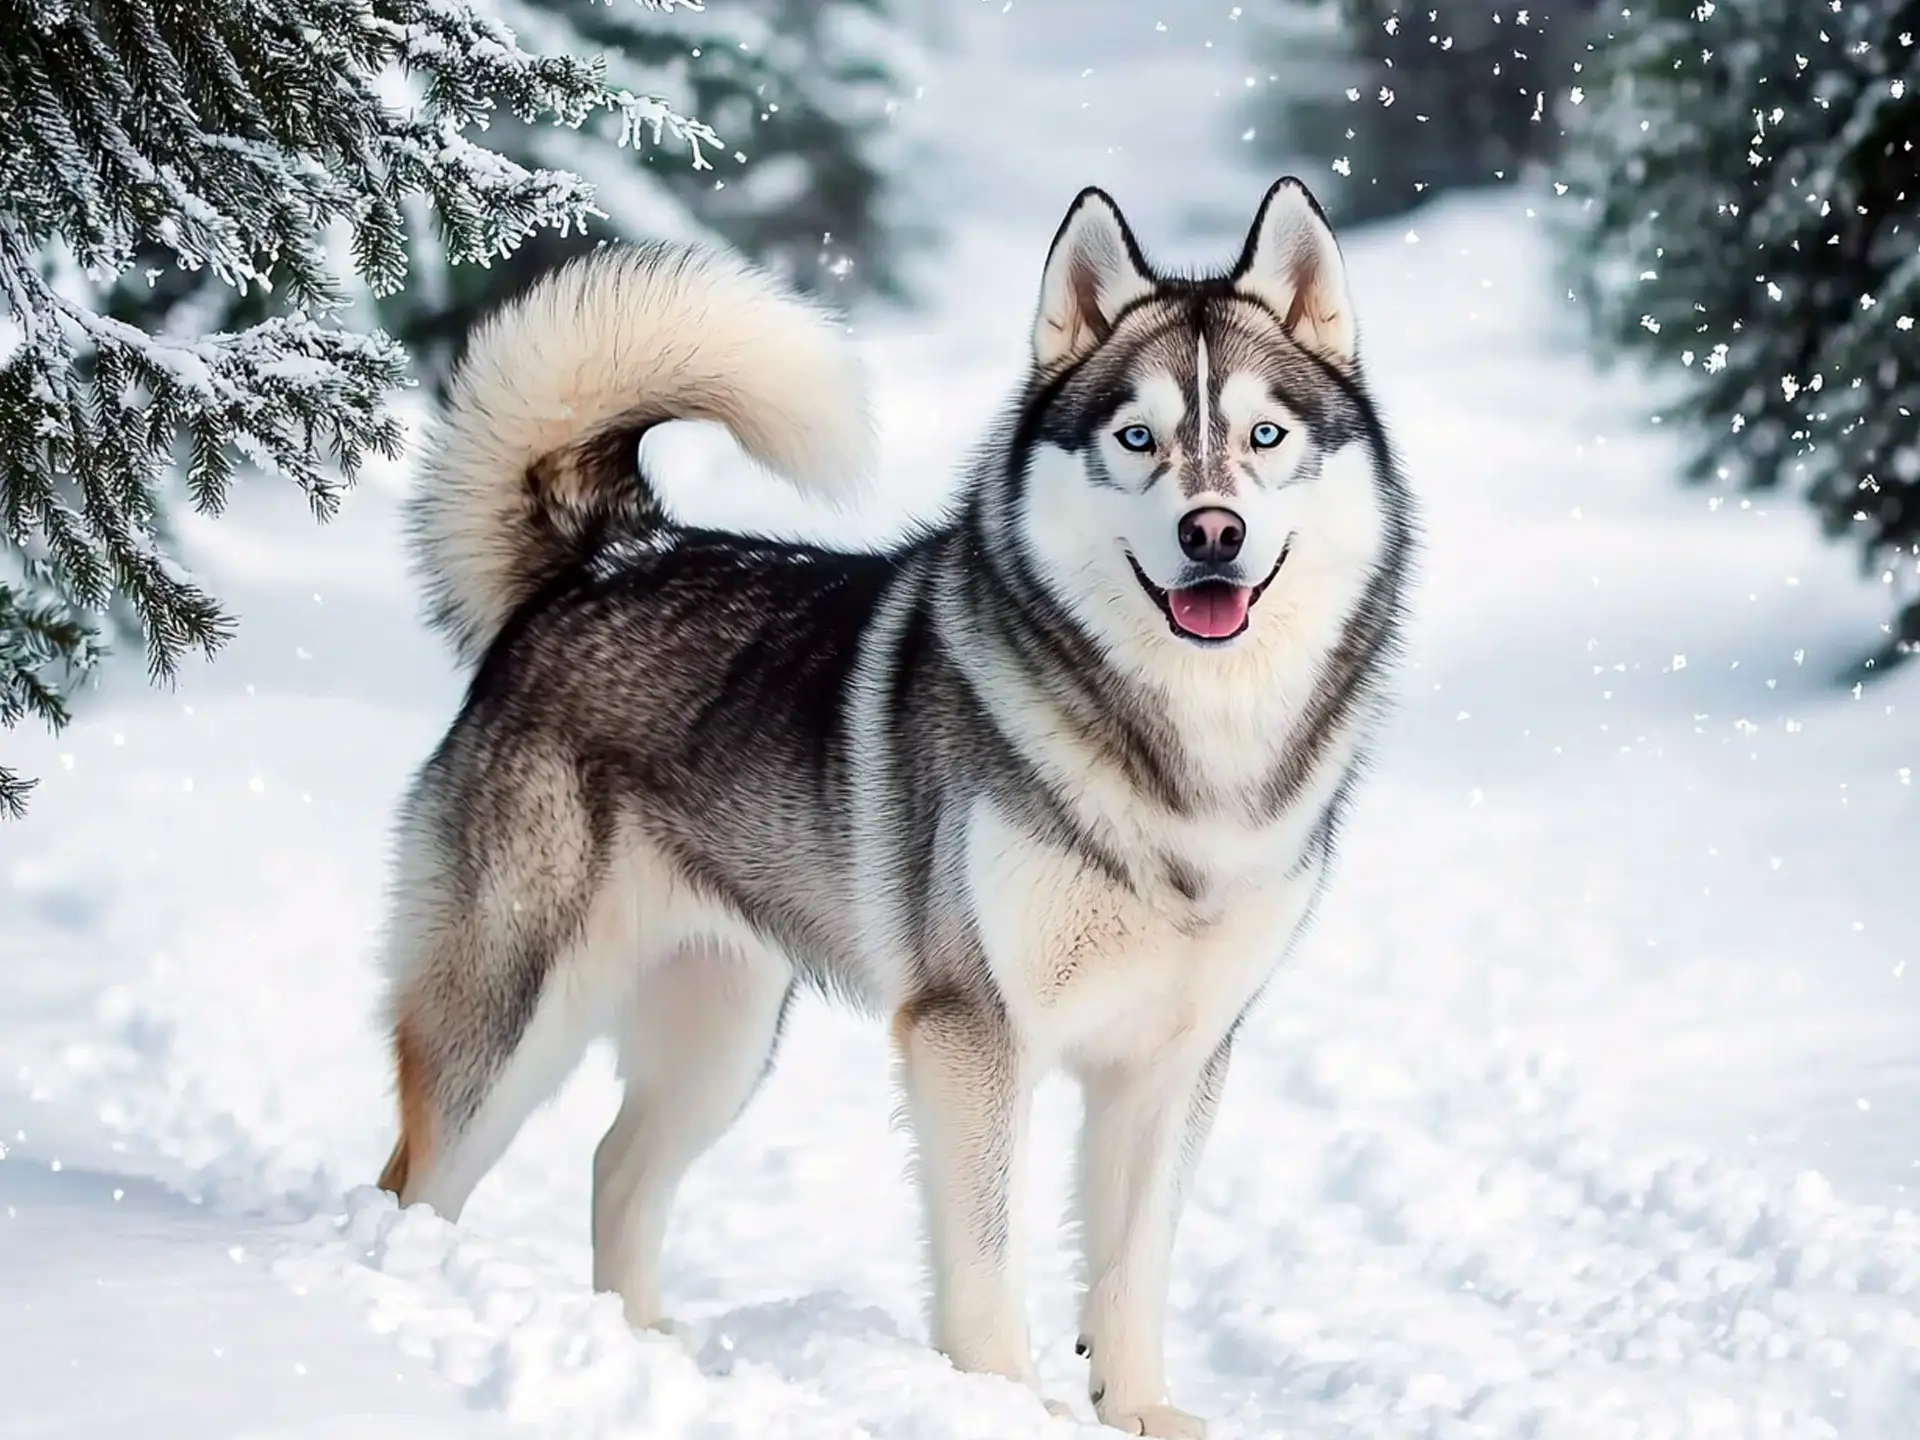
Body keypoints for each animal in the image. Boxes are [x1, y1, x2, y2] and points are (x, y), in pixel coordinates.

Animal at [374, 174, 1420, 1436]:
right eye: (1137, 438)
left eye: (1266, 436)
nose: (1209, 532)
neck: (1179, 754)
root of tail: (608, 556)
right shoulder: (973, 1032)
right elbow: (987, 1257)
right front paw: (1002, 1406)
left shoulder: (1178, 1059)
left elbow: (1134, 1262)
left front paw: (1136, 1411)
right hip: (516, 1009)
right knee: (417, 1175)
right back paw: (401, 1298)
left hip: (720, 1035)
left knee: (614, 1169)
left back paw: (641, 1345)